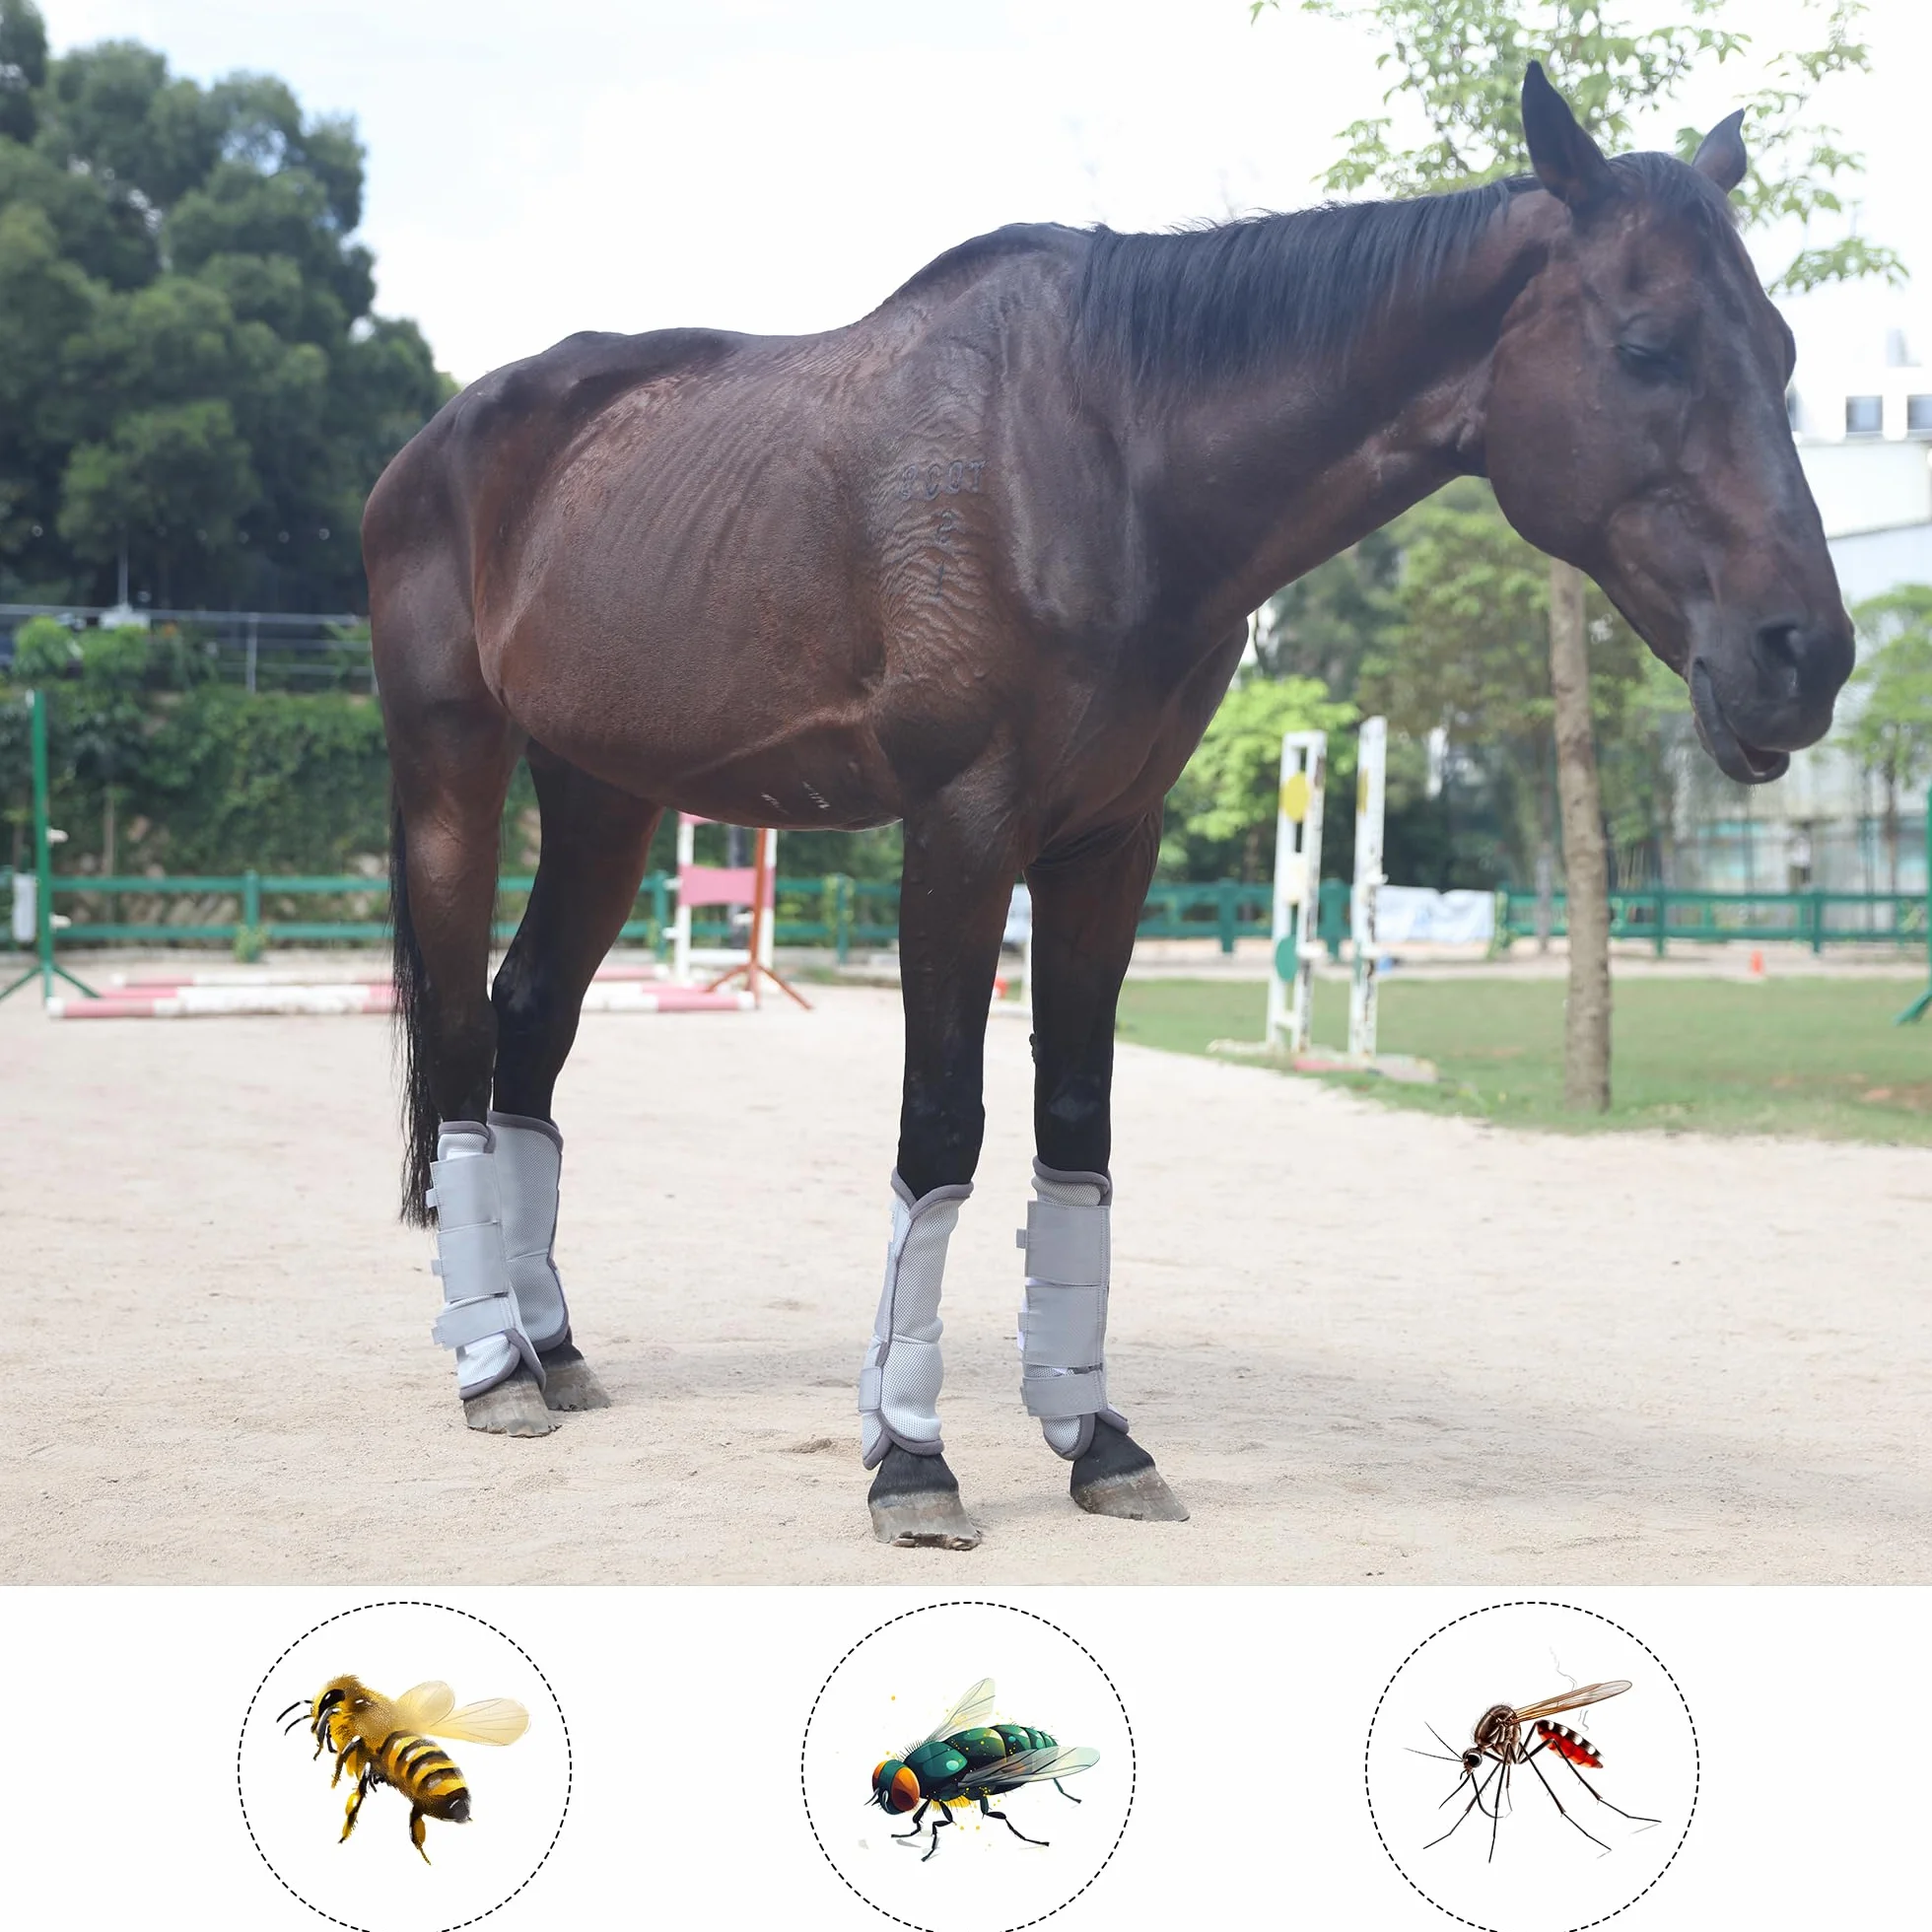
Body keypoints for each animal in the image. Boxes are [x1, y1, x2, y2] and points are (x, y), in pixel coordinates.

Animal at [364, 65, 1851, 1550]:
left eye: (1782, 352)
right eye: (1648, 348)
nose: (1807, 656)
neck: (1104, 457)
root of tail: (438, 440)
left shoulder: (1107, 842)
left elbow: (1076, 1125)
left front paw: (1096, 1438)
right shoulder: (962, 831)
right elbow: (941, 1131)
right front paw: (910, 1461)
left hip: (605, 799)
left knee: (529, 1027)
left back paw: (553, 1345)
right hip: (455, 770)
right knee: (461, 1035)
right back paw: (493, 1365)